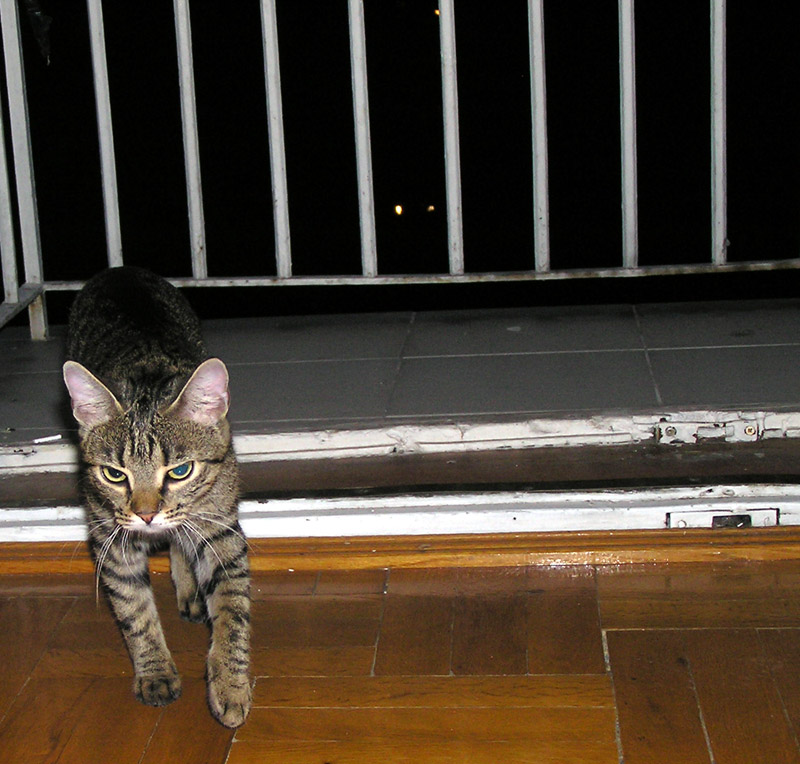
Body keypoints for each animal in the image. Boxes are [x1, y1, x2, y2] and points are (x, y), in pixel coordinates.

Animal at [62, 266, 251, 728]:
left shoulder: (222, 530)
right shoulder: (110, 539)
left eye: (180, 471)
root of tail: (121, 270)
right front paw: (155, 672)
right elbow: (135, 610)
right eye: (114, 474)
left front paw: (230, 684)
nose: (147, 515)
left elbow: (233, 610)